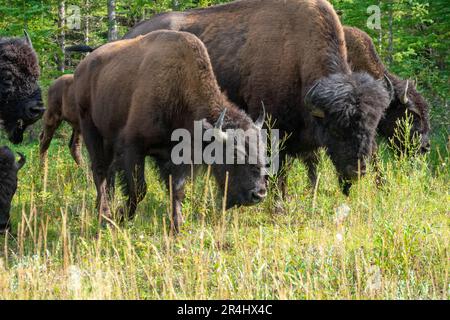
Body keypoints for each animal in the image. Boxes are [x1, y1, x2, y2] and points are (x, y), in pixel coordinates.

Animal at [74, 30, 268, 232]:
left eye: (263, 150)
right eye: (235, 154)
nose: (259, 194)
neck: (180, 89)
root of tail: (83, 66)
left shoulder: (177, 157)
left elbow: (177, 190)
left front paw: (177, 226)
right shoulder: (133, 148)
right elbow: (139, 188)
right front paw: (122, 216)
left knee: (108, 174)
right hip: (90, 128)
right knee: (99, 170)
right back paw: (105, 215)